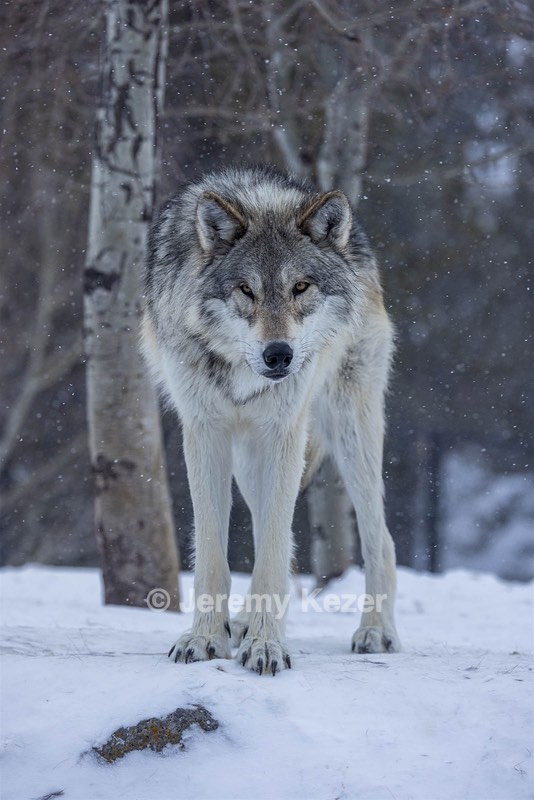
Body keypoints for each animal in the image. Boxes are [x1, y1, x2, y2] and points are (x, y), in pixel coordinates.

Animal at [142, 165, 401, 675]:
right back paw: (238, 624)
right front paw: (206, 639)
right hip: (248, 458)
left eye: (301, 287)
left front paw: (265, 645)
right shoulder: (205, 432)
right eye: (247, 290)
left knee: (379, 539)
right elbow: (214, 556)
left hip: (348, 430)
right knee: (267, 529)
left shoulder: (285, 432)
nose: (278, 354)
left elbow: (274, 552)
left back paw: (376, 632)